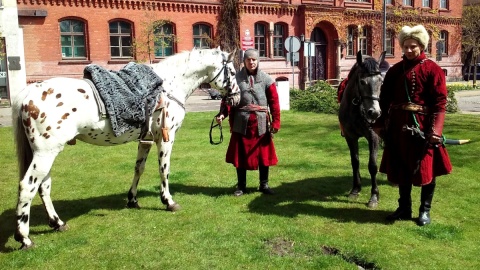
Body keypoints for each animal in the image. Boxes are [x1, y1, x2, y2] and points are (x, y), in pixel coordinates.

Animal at [12, 47, 240, 249]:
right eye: (232, 72)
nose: (237, 97)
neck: (168, 85)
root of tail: (28, 93)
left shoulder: (146, 140)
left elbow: (139, 168)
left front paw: (132, 199)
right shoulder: (166, 139)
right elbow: (164, 170)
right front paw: (168, 201)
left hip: (47, 153)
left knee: (43, 187)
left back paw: (57, 223)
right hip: (45, 153)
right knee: (27, 187)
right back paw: (24, 238)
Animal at [338, 50, 386, 209]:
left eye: (381, 81)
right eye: (362, 82)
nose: (374, 113)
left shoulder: (374, 137)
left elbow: (372, 165)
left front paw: (374, 196)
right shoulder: (350, 136)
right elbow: (355, 161)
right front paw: (355, 189)